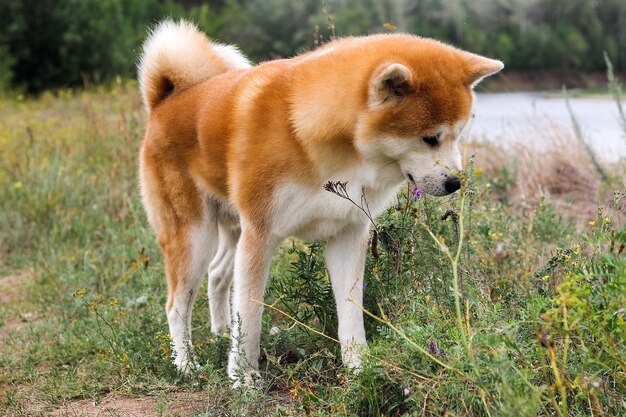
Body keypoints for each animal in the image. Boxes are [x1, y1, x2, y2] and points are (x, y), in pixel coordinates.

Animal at [136, 19, 502, 384]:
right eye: (429, 138)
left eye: (458, 134)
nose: (455, 182)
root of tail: (166, 99)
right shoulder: (260, 234)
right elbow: (251, 313)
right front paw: (244, 378)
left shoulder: (347, 234)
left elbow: (351, 312)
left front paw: (359, 368)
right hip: (195, 236)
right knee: (177, 305)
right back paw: (186, 364)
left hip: (231, 231)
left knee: (217, 276)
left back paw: (222, 335)